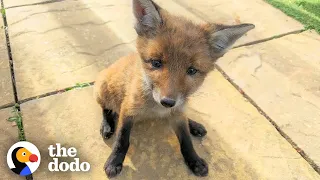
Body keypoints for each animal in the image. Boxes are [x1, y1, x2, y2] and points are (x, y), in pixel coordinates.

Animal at [94, 0, 254, 177]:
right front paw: (114, 161)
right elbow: (122, 140)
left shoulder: (178, 114)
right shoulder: (128, 109)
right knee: (106, 109)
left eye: (192, 70)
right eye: (156, 63)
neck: (155, 110)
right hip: (102, 90)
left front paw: (194, 160)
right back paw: (107, 125)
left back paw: (194, 125)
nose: (168, 102)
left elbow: (186, 140)